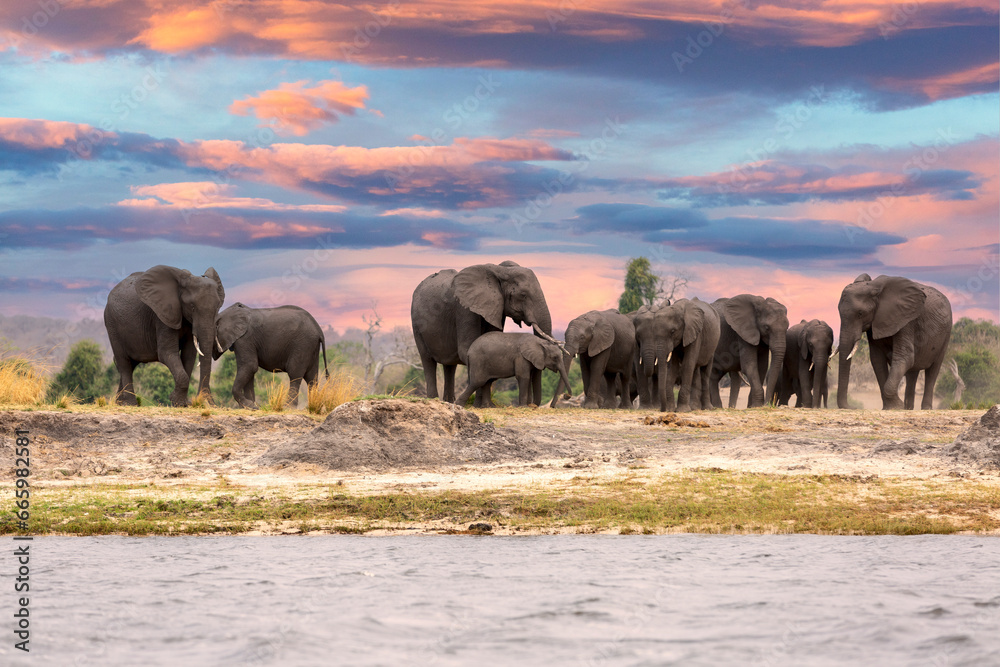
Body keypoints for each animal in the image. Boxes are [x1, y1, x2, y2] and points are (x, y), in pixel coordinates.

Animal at [104, 265, 225, 407]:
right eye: (192, 307)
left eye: (218, 307)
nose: (209, 403)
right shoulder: (163, 315)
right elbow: (167, 353)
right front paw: (177, 402)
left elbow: (189, 355)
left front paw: (183, 403)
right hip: (112, 324)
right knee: (124, 362)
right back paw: (130, 404)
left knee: (130, 364)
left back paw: (119, 402)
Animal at [411, 261, 556, 407]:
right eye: (523, 295)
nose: (532, 405)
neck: (500, 271)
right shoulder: (464, 308)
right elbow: (467, 349)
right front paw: (482, 405)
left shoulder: (497, 308)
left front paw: (484, 405)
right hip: (417, 325)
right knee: (428, 361)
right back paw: (433, 399)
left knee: (449, 366)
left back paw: (449, 401)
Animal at [836, 274, 952, 410]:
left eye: (860, 313)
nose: (852, 407)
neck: (874, 287)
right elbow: (877, 359)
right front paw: (891, 407)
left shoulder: (906, 321)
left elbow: (904, 357)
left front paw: (897, 406)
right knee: (912, 373)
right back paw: (908, 408)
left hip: (946, 335)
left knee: (933, 371)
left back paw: (925, 408)